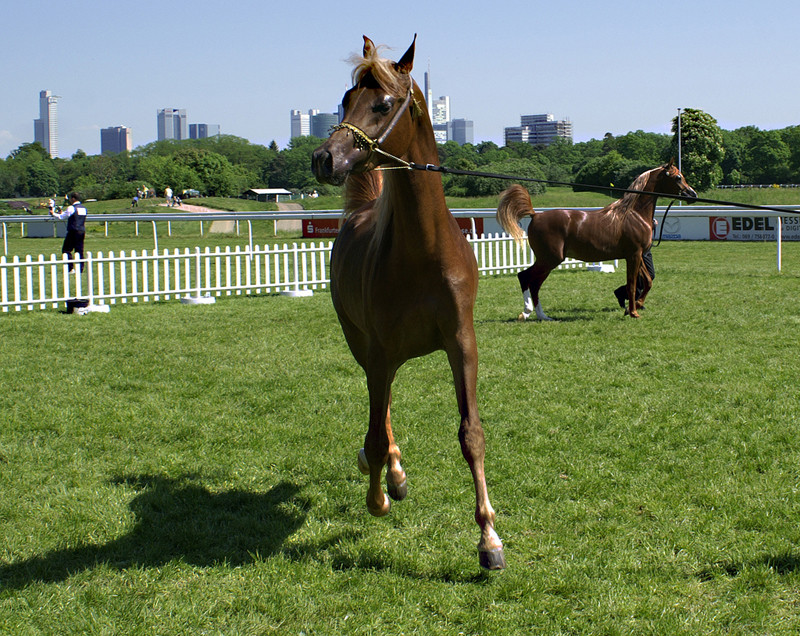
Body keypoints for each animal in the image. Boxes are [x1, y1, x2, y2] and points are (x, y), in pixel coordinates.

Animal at [310, 36, 504, 572]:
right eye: (344, 99)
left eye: (382, 103)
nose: (324, 159)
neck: (423, 252)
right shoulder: (378, 350)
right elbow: (376, 434)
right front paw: (377, 495)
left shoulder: (462, 344)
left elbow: (471, 434)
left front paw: (489, 538)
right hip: (362, 344)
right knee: (380, 411)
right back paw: (388, 476)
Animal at [496, 161, 696, 320]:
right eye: (678, 177)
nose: (692, 194)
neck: (634, 214)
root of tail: (535, 215)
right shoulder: (634, 255)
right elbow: (632, 284)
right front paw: (633, 312)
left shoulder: (638, 255)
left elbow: (647, 282)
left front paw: (634, 307)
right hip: (549, 259)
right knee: (525, 277)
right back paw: (527, 312)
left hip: (548, 261)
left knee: (534, 284)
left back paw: (542, 316)